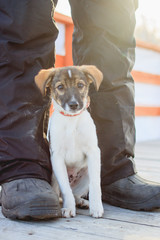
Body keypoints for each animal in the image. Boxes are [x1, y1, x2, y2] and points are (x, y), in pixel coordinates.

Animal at [35, 65, 104, 218]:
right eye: (60, 87)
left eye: (80, 85)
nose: (73, 105)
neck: (72, 120)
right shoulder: (57, 156)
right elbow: (66, 188)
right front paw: (68, 208)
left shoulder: (93, 152)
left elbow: (95, 184)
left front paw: (96, 207)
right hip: (54, 174)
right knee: (61, 191)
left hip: (86, 175)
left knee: (76, 193)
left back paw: (82, 202)